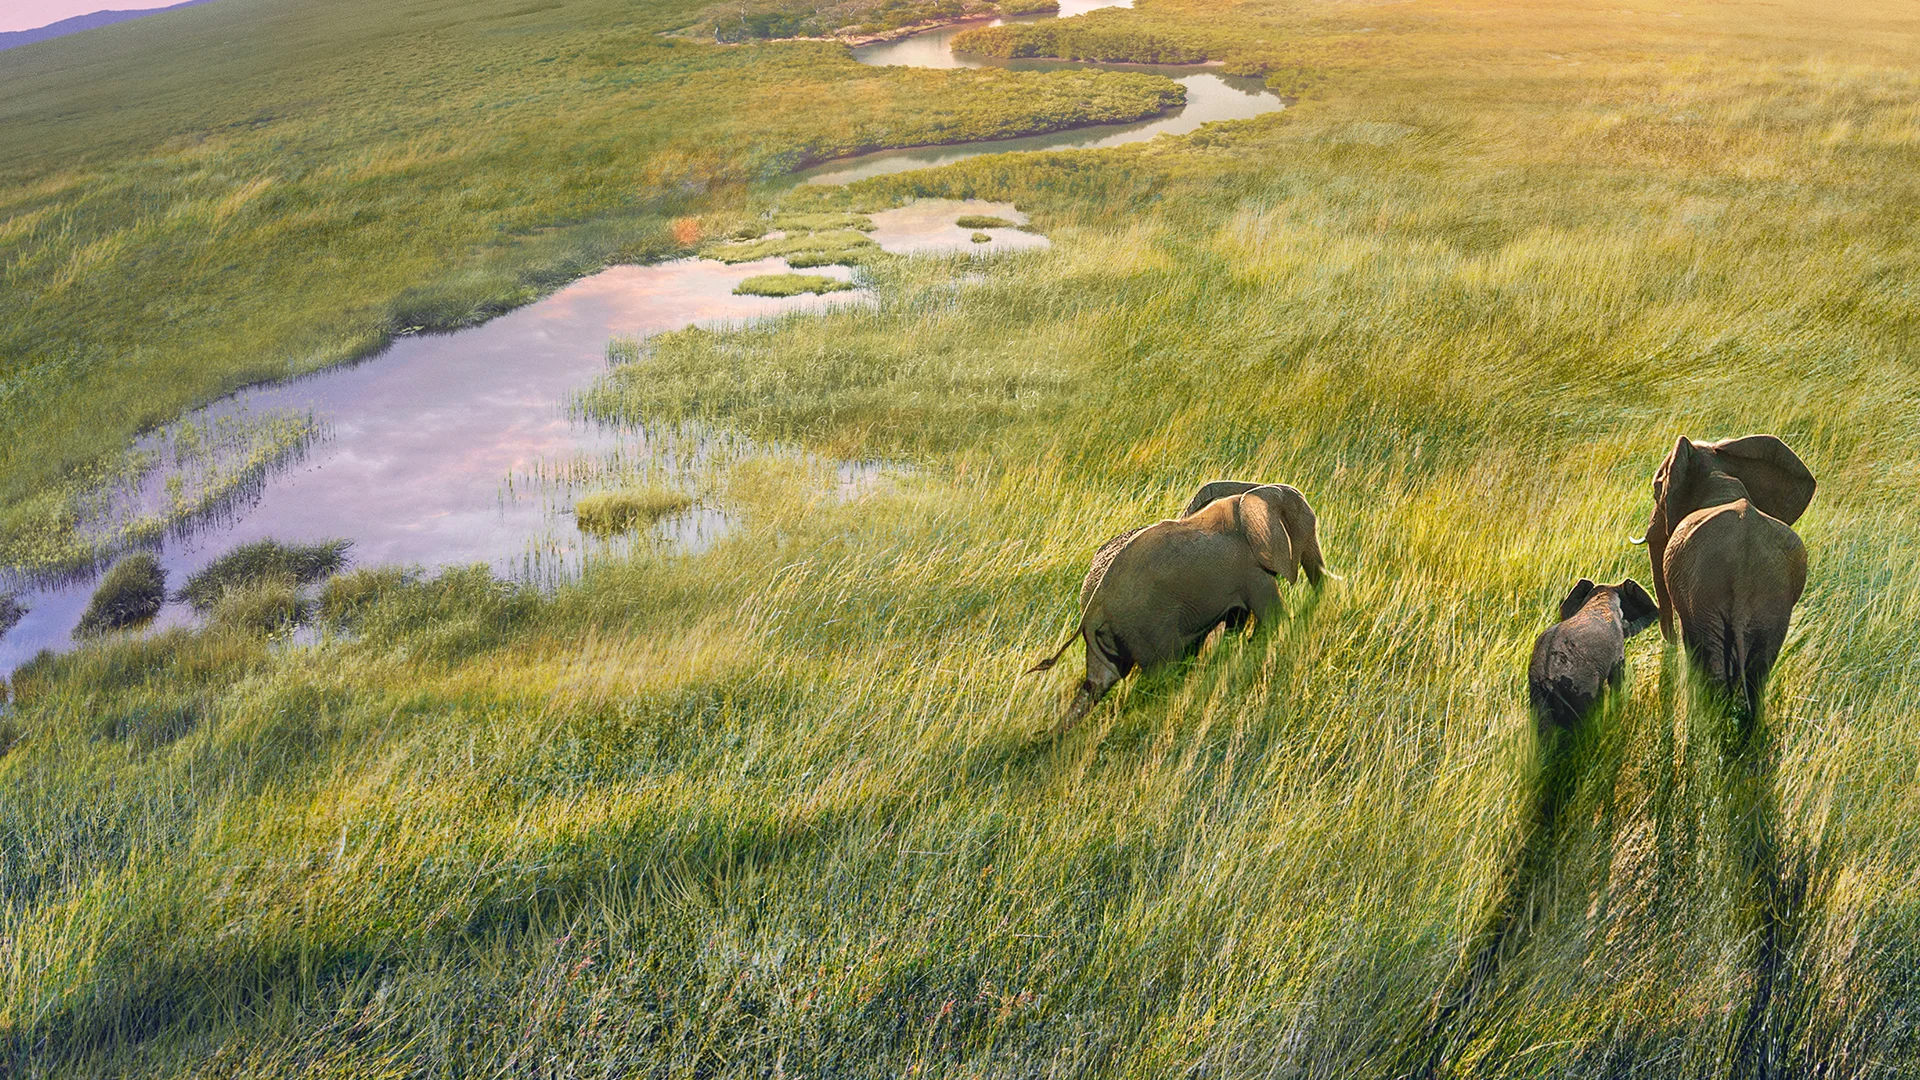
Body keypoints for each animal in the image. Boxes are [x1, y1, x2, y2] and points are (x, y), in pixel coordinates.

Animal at [1031, 482, 1328, 735]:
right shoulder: (1250, 568)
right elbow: (1274, 618)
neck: (1253, 493)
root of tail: (1093, 608)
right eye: (1305, 529)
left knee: (1098, 682)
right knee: (1165, 673)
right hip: (1145, 625)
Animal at [1528, 578, 1659, 735]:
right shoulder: (1617, 648)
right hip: (1580, 687)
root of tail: (1546, 678)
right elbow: (1617, 678)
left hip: (1537, 693)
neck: (1601, 600)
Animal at [1652, 436, 1810, 719]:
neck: (1720, 473)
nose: (1667, 643)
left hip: (1703, 597)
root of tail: (1742, 574)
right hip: (1771, 608)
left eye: (1655, 489)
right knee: (1758, 671)